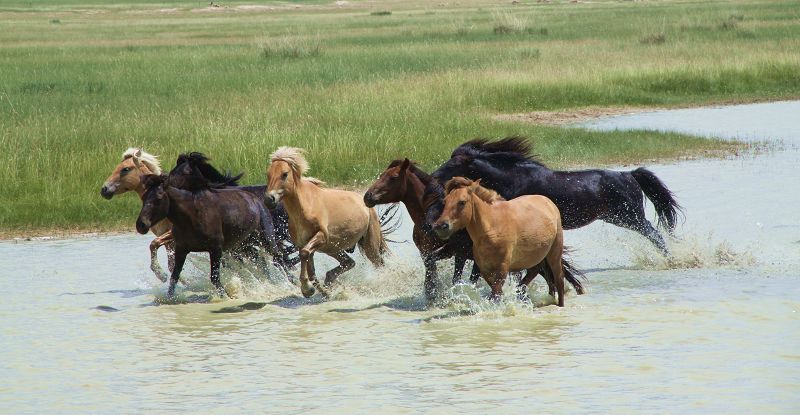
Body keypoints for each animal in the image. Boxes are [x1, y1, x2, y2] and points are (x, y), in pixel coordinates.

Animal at [101, 148, 174, 282]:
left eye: (125, 169)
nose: (104, 189)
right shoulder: (167, 238)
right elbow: (172, 265)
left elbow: (154, 244)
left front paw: (160, 274)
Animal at [136, 161, 286, 300]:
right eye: (144, 197)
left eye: (159, 197)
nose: (141, 225)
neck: (191, 216)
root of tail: (257, 199)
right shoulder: (181, 249)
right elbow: (174, 277)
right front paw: (168, 296)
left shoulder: (216, 249)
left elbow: (215, 278)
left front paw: (226, 297)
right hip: (245, 245)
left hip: (266, 240)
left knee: (278, 259)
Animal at [268, 146, 396, 300]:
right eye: (268, 174)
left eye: (284, 174)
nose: (269, 199)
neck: (305, 206)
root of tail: (366, 204)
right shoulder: (303, 244)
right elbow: (310, 270)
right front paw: (320, 291)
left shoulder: (321, 236)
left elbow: (304, 255)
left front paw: (307, 289)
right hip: (332, 248)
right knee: (349, 262)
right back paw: (330, 282)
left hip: (369, 245)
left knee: (379, 264)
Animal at [424, 136, 680, 256]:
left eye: (454, 163)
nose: (432, 176)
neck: (513, 178)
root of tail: (629, 175)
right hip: (619, 218)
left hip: (631, 217)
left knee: (656, 235)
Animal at [434, 177, 584, 308]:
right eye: (445, 202)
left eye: (462, 202)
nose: (440, 226)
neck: (491, 227)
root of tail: (548, 201)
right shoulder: (485, 269)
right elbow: (496, 291)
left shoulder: (502, 268)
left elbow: (496, 292)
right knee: (536, 273)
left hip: (554, 254)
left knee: (558, 280)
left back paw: (560, 305)